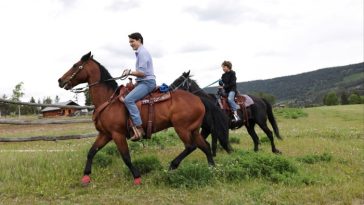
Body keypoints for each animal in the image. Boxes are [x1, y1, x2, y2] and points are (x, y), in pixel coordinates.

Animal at [58, 52, 215, 185]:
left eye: (75, 65)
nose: (60, 80)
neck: (108, 100)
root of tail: (198, 98)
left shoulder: (117, 134)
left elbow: (126, 157)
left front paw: (137, 177)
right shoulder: (105, 134)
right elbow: (91, 152)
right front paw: (85, 177)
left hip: (182, 128)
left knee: (191, 146)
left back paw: (172, 166)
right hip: (193, 130)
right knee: (205, 147)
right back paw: (213, 169)